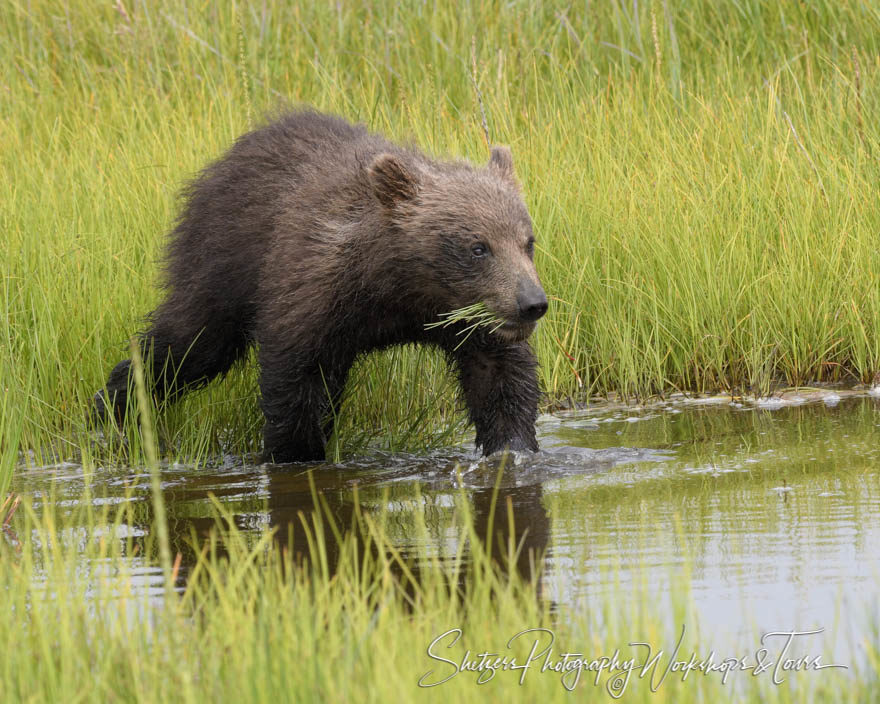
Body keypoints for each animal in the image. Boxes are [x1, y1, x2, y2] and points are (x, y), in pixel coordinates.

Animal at [98, 108, 552, 462]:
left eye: (527, 241)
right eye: (478, 247)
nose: (532, 302)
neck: (397, 291)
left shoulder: (469, 319)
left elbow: (500, 377)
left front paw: (512, 448)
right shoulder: (311, 290)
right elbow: (297, 384)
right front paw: (296, 453)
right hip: (221, 260)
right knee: (189, 343)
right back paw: (112, 409)